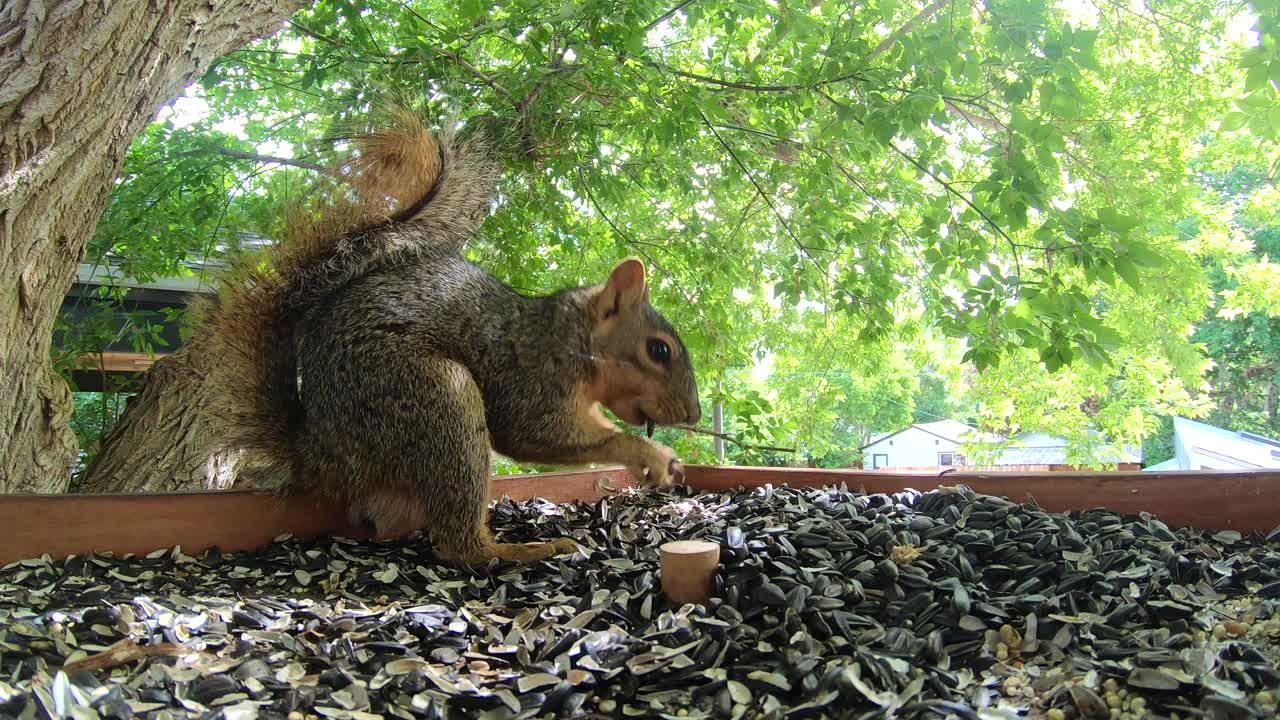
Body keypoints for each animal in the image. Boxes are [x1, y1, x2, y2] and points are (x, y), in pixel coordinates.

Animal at [194, 106, 706, 563]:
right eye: (658, 350)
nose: (694, 415)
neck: (571, 340)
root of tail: (320, 453)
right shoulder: (530, 377)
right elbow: (536, 433)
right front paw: (650, 453)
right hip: (436, 397)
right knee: (457, 546)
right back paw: (517, 549)